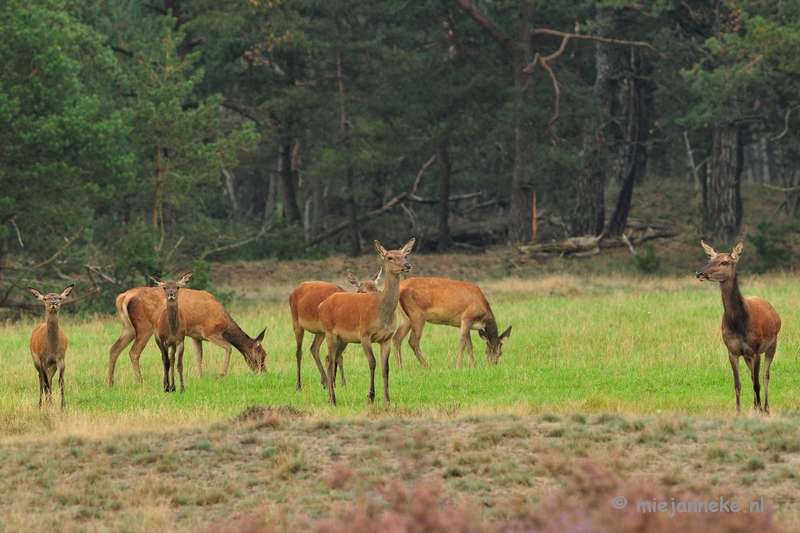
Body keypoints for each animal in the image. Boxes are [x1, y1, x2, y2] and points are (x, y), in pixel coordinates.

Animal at [107, 284, 266, 384]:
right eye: (263, 355)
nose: (263, 372)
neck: (225, 322)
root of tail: (124, 297)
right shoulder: (210, 331)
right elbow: (229, 347)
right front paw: (221, 374)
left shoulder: (195, 336)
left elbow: (198, 356)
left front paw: (199, 377)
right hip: (144, 325)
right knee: (134, 352)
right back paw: (140, 381)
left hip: (128, 327)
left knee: (114, 349)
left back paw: (111, 382)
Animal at [318, 237, 416, 404]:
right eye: (390, 257)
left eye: (405, 255)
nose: (407, 265)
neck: (381, 312)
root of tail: (321, 304)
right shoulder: (364, 335)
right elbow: (372, 363)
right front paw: (370, 396)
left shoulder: (386, 338)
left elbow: (385, 367)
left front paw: (387, 398)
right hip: (329, 333)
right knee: (330, 362)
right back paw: (333, 399)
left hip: (343, 339)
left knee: (333, 359)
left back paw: (331, 397)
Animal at [692, 239, 780, 414]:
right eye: (709, 260)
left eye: (724, 262)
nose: (699, 273)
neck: (739, 325)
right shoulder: (732, 350)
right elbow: (737, 384)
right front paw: (739, 411)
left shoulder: (755, 350)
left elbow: (757, 383)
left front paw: (760, 410)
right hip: (747, 355)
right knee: (753, 376)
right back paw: (756, 405)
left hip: (772, 343)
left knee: (765, 376)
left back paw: (765, 407)